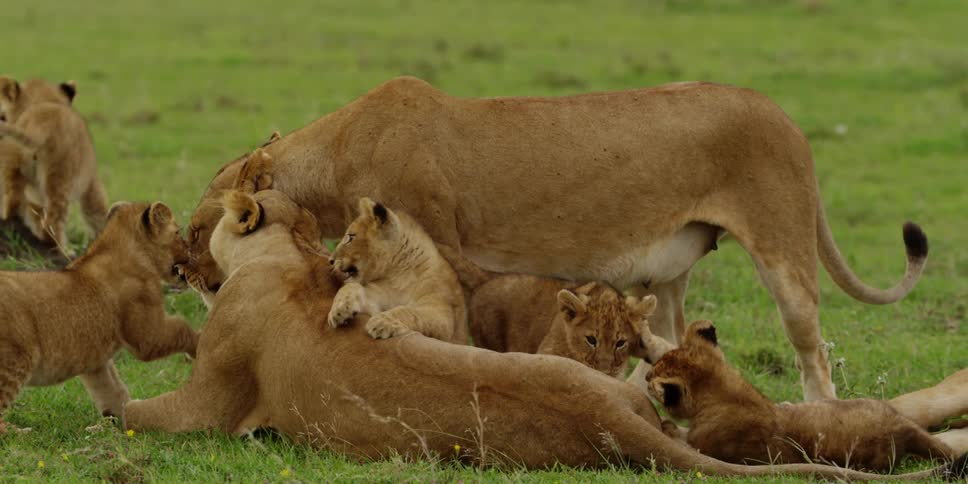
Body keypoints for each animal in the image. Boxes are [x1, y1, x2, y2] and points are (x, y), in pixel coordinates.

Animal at [0, 76, 109, 253]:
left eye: (2, 116)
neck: (41, 101)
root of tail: (35, 126)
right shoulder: (91, 183)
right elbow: (98, 211)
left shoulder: (33, 198)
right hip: (60, 177)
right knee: (52, 222)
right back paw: (63, 251)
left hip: (13, 170)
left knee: (13, 206)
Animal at [0, 200, 198, 433]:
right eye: (177, 233)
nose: (192, 252)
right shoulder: (147, 338)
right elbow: (182, 328)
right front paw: (200, 343)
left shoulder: (96, 362)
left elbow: (113, 391)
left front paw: (124, 423)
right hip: (15, 359)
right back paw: (20, 432)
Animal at [326, 196, 468, 344]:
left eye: (351, 237)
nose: (330, 260)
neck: (398, 274)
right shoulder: (376, 297)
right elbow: (350, 287)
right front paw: (338, 310)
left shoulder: (442, 313)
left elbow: (410, 311)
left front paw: (381, 322)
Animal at [645, 320, 967, 471]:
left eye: (654, 373)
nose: (647, 378)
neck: (725, 392)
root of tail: (901, 425)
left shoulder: (706, 448)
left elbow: (681, 439)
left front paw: (668, 426)